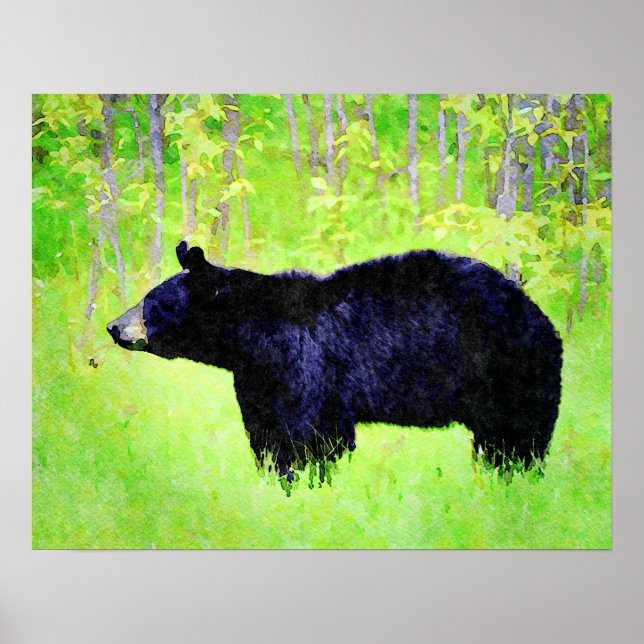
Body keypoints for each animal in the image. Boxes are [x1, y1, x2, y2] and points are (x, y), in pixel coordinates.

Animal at [107, 242, 563, 481]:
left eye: (151, 302)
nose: (113, 326)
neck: (251, 335)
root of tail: (539, 315)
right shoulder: (258, 378)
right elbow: (266, 430)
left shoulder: (305, 367)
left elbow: (308, 433)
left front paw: (305, 480)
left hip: (510, 371)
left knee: (516, 435)